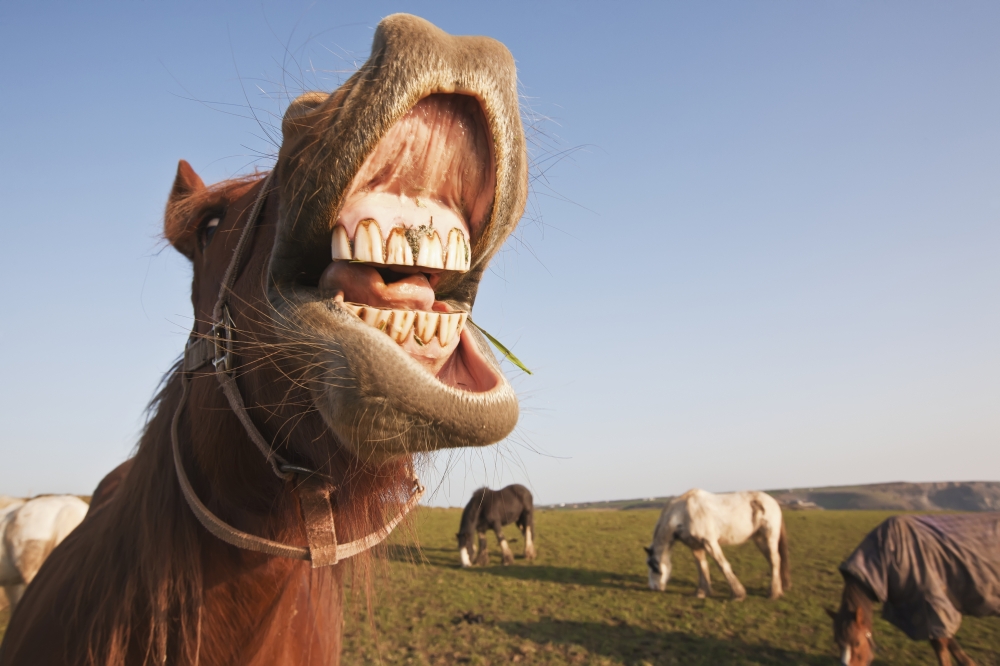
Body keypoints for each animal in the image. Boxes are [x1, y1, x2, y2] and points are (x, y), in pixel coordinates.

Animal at [644, 489, 790, 600]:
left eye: (654, 567)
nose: (654, 588)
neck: (684, 512)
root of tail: (773, 502)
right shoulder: (696, 546)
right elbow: (702, 567)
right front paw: (702, 592)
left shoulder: (710, 542)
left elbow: (722, 565)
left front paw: (738, 594)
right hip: (759, 539)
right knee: (772, 561)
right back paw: (777, 589)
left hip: (769, 537)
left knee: (775, 560)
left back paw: (774, 593)